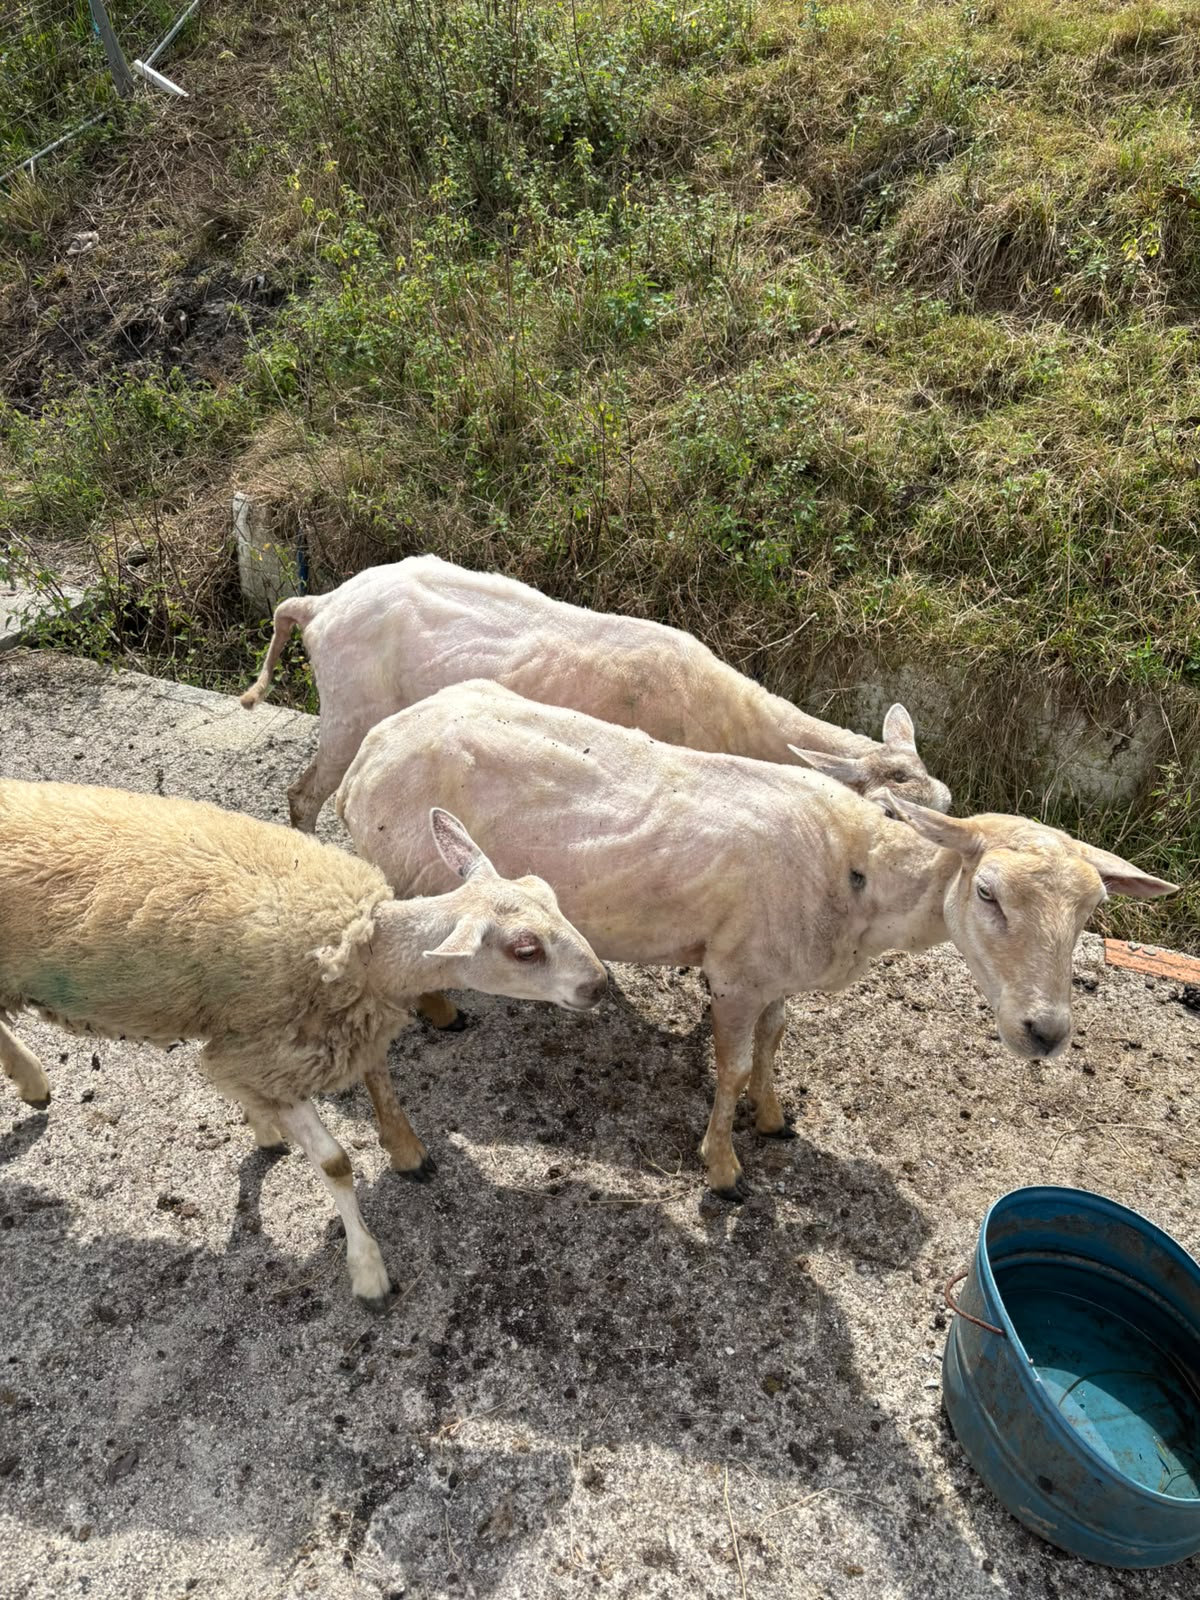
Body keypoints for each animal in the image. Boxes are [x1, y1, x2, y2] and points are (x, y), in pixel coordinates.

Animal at [0, 779, 606, 1303]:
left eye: (548, 892)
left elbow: (380, 1078)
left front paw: (406, 1151)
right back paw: (33, 1079)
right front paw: (368, 1269)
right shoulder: (274, 1052)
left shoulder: (336, 1029)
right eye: (525, 949)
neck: (364, 944)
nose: (599, 983)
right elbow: (336, 1163)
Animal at [239, 554, 951, 834]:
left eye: (946, 800)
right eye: (890, 814)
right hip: (350, 707)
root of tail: (320, 603)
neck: (730, 716)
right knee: (303, 796)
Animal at [336, 680, 1175, 1201]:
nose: (1046, 1031)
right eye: (988, 892)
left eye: (1092, 911)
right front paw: (725, 1169)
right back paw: (412, 1128)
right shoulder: (736, 973)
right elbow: (734, 1066)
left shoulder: (776, 972)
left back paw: (442, 1008)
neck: (858, 872)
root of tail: (367, 753)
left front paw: (772, 1120)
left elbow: (773, 1045)